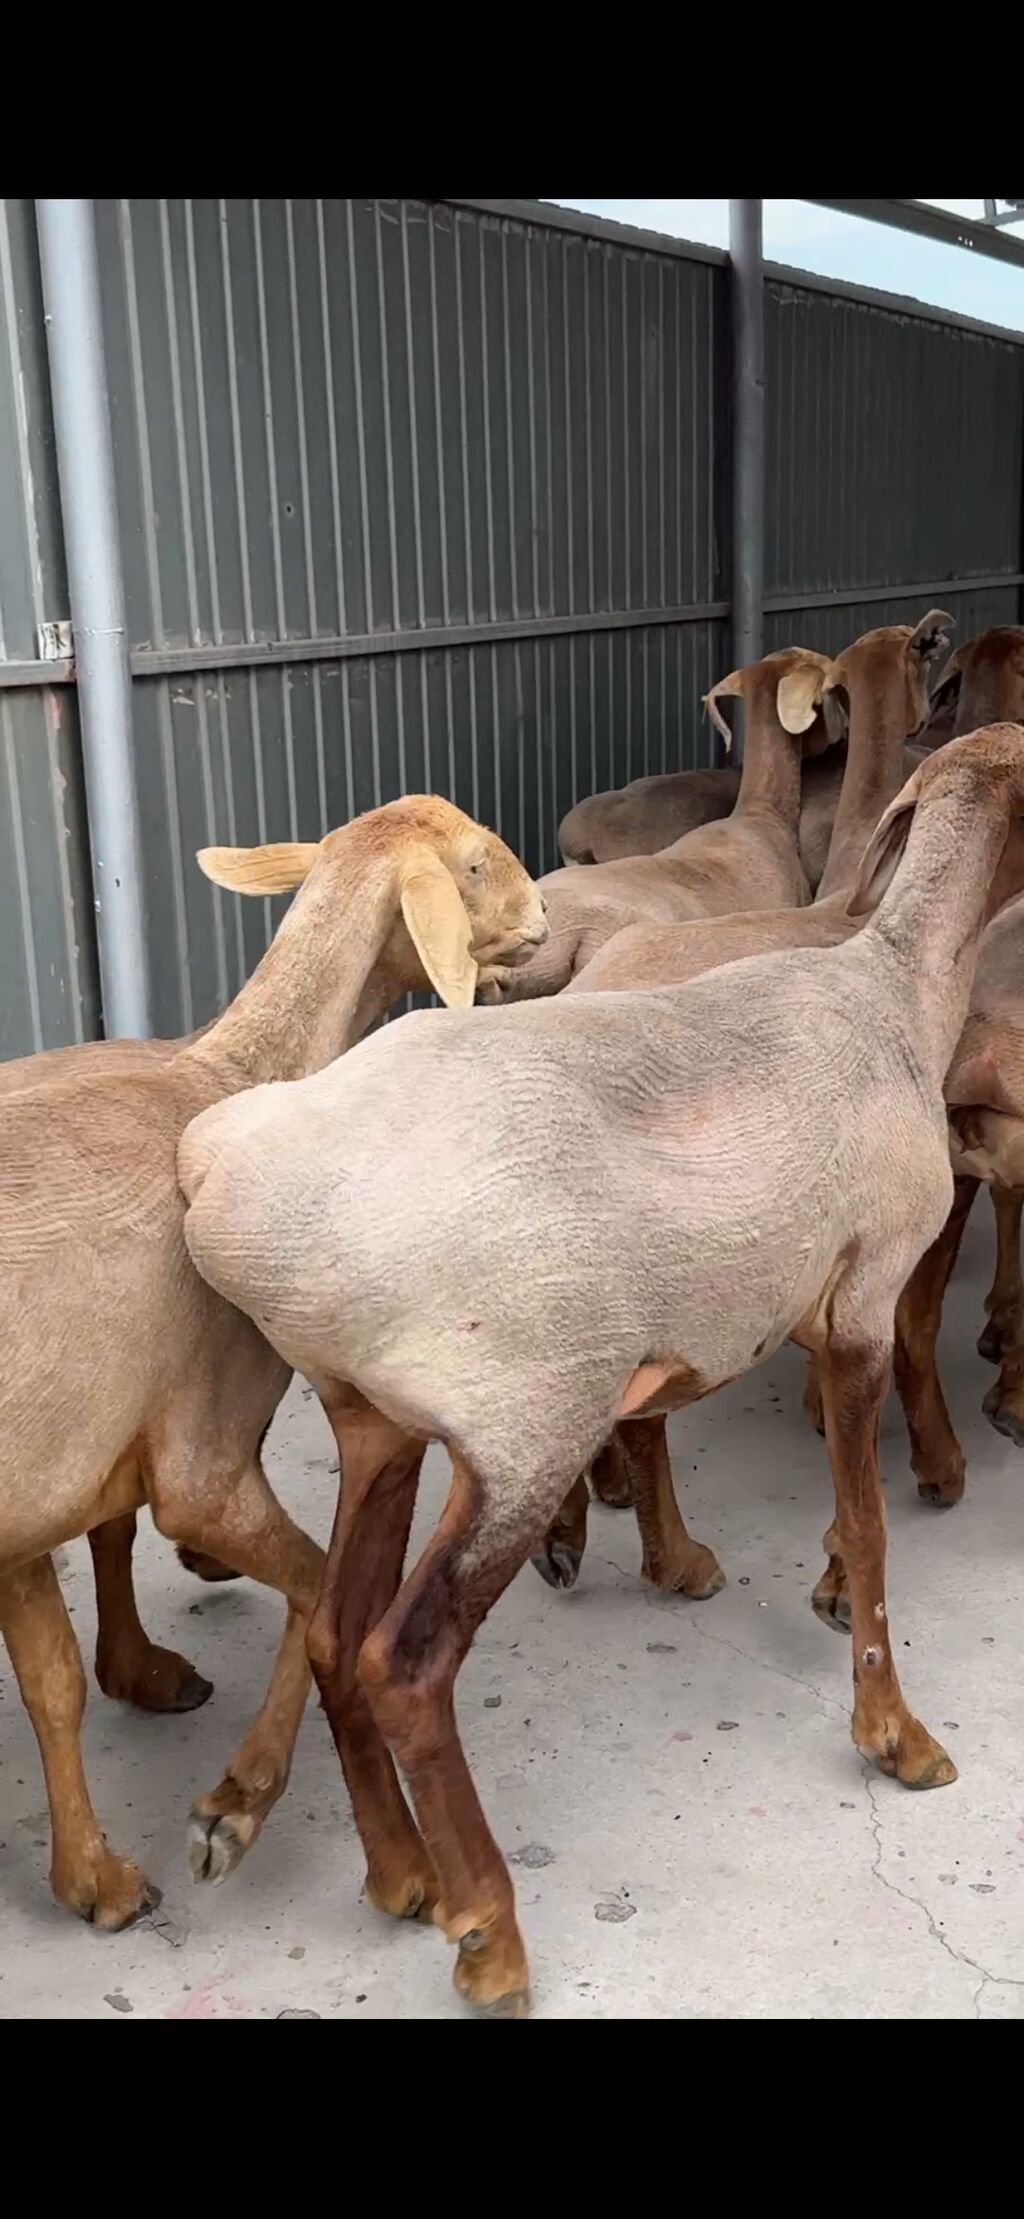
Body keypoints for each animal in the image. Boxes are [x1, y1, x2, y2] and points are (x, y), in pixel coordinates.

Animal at [0, 796, 545, 1928]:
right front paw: (238, 1810)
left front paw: (92, 1879)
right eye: (476, 864)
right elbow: (315, 1597)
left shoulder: (33, 1497)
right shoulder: (203, 1457)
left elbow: (50, 1682)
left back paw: (147, 1673)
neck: (222, 1076)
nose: (546, 919)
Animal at [177, 724, 1024, 2017]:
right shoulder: (866, 1289)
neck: (895, 990)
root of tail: (227, 1176)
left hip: (372, 1419)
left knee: (330, 1632)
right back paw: (487, 1931)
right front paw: (898, 1735)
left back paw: (399, 1874)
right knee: (402, 1661)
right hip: (526, 1420)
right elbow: (872, 1524)